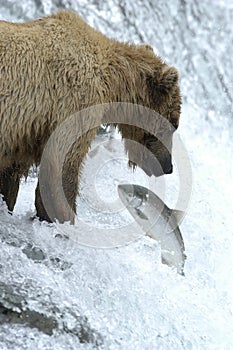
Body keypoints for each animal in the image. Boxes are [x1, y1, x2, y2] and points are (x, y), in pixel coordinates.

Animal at [0, 10, 181, 224]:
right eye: (173, 124)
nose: (168, 165)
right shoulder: (73, 102)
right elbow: (62, 166)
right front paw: (64, 218)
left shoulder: (24, 131)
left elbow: (10, 177)